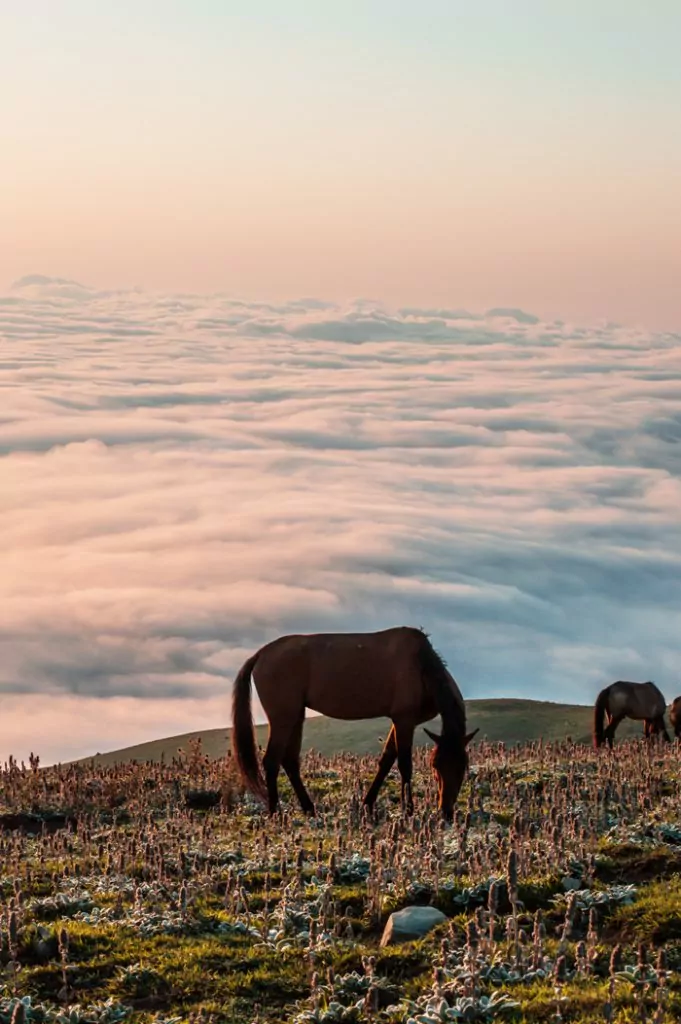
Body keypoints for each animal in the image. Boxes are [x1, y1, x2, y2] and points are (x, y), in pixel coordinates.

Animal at [231, 622, 475, 823]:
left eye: (463, 767)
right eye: (435, 766)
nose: (446, 812)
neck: (421, 666)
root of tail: (261, 654)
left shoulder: (402, 721)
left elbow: (386, 760)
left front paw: (368, 804)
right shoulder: (404, 720)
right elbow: (404, 764)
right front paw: (408, 811)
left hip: (295, 716)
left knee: (289, 761)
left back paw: (309, 809)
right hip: (283, 717)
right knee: (272, 761)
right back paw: (275, 812)